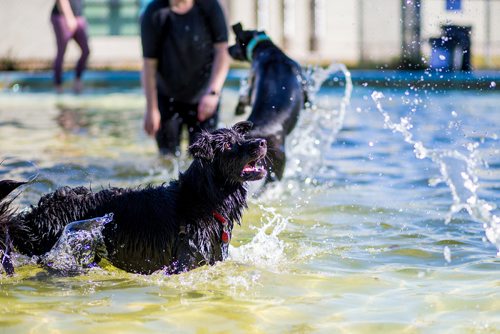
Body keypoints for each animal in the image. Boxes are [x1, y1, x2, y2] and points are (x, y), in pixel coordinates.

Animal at [0, 121, 268, 276]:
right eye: (228, 146)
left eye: (242, 138)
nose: (262, 141)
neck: (204, 199)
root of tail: (36, 216)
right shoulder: (186, 260)